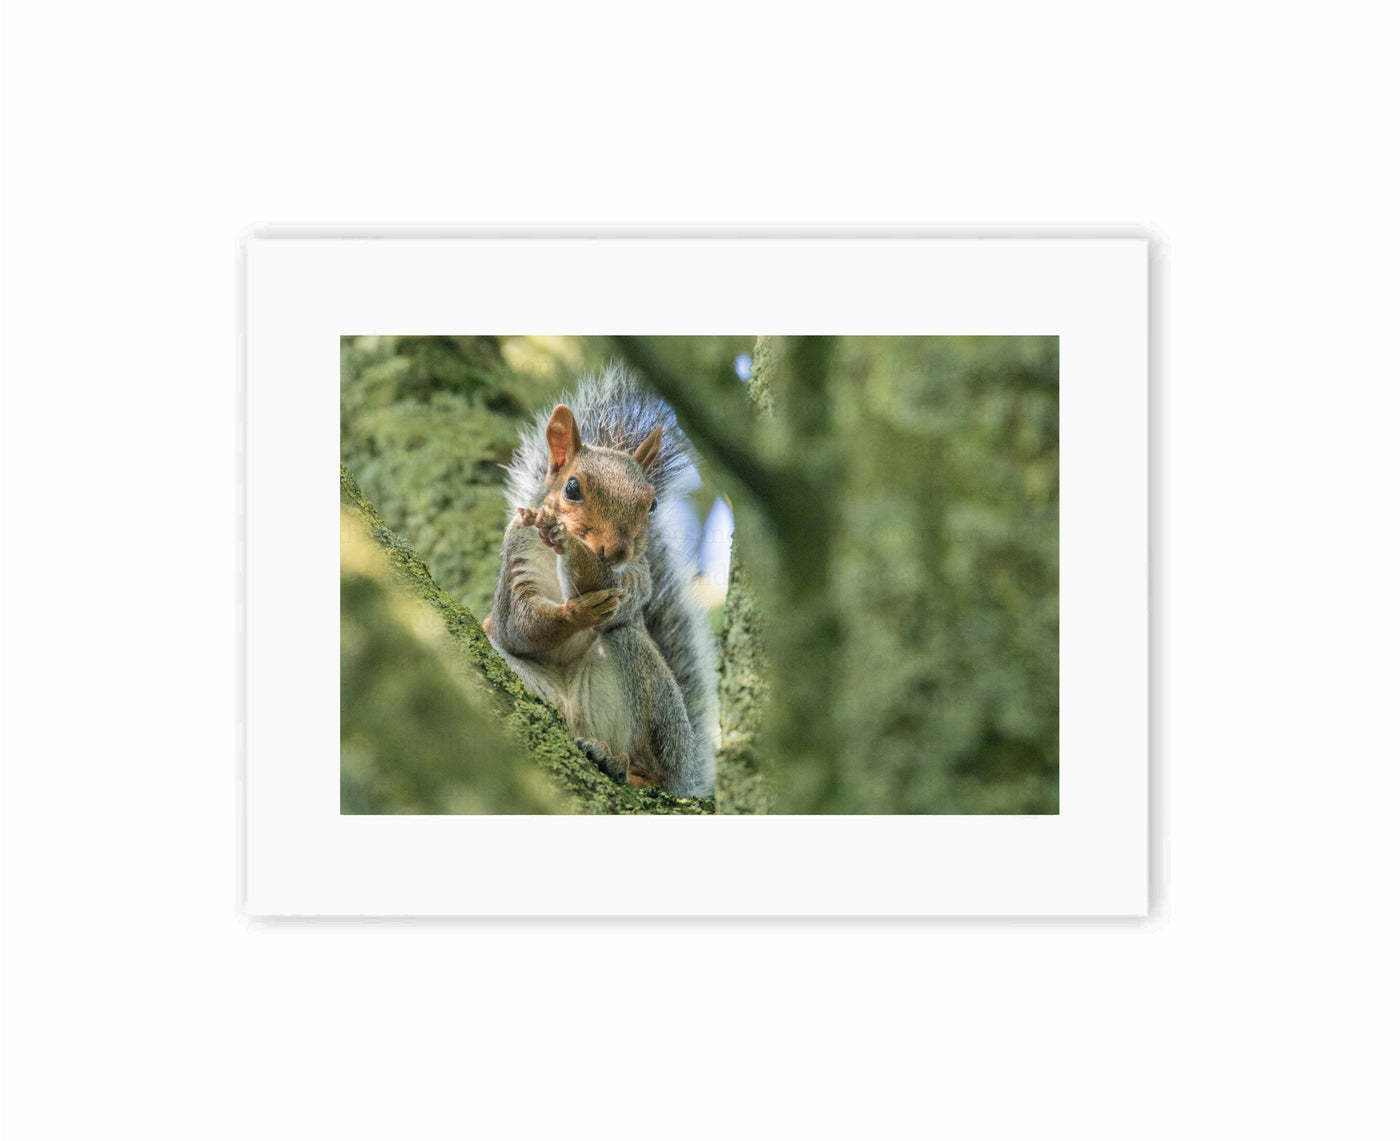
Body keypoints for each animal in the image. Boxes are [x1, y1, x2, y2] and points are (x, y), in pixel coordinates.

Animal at [482, 361, 717, 798]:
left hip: (649, 697)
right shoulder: (516, 557)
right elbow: (517, 624)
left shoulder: (635, 579)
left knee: (653, 765)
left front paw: (575, 553)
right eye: (572, 488)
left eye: (652, 504)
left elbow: (612, 592)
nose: (616, 550)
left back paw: (626, 766)